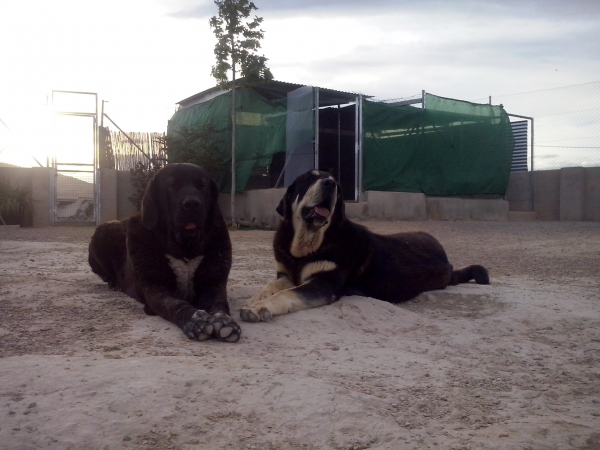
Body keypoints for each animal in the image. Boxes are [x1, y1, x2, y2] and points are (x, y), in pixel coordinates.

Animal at [89, 163, 239, 342]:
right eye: (171, 185)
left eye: (202, 185)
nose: (192, 203)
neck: (185, 247)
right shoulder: (154, 287)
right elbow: (174, 304)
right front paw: (195, 320)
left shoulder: (213, 283)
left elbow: (219, 302)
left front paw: (224, 321)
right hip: (107, 228)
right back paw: (114, 284)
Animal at [239, 171, 488, 322]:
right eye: (309, 179)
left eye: (335, 184)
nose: (330, 184)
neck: (307, 244)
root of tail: (448, 264)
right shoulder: (286, 274)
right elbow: (273, 285)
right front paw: (258, 297)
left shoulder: (323, 284)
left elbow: (286, 294)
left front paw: (260, 307)